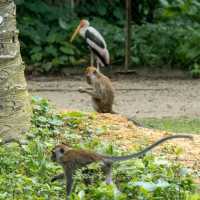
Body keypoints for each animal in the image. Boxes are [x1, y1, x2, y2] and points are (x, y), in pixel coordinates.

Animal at [51, 134, 192, 200]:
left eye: (53, 152)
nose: (50, 158)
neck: (65, 154)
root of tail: (101, 157)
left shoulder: (67, 163)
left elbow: (70, 180)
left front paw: (67, 196)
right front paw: (54, 179)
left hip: (100, 167)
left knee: (92, 176)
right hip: (106, 168)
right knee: (107, 182)